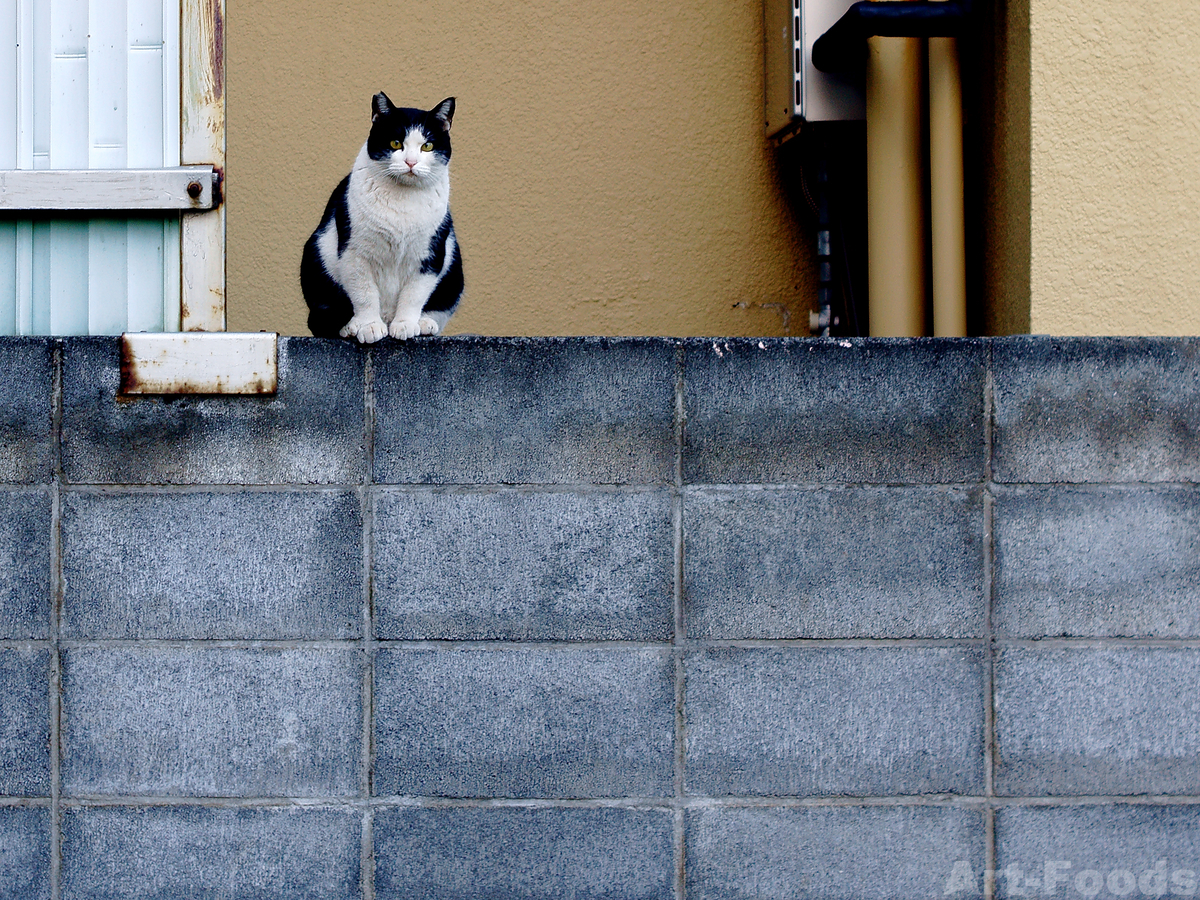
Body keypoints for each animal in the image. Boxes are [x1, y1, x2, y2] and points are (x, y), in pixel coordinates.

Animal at [302, 94, 460, 340]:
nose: (411, 162)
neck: (402, 199)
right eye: (395, 143)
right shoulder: (354, 253)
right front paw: (369, 326)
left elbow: (414, 294)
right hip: (315, 257)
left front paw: (405, 324)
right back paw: (352, 327)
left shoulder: (430, 255)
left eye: (427, 146)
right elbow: (364, 292)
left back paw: (424, 323)